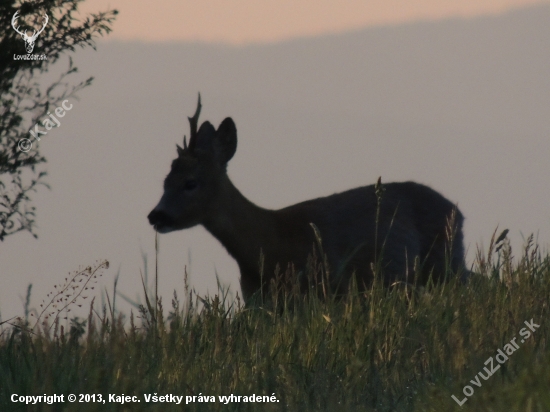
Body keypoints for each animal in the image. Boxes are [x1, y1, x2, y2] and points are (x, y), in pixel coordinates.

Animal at [149, 97, 468, 302]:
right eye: (165, 181)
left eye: (191, 183)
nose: (156, 215)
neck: (270, 242)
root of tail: (457, 210)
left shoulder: (327, 288)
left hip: (444, 260)